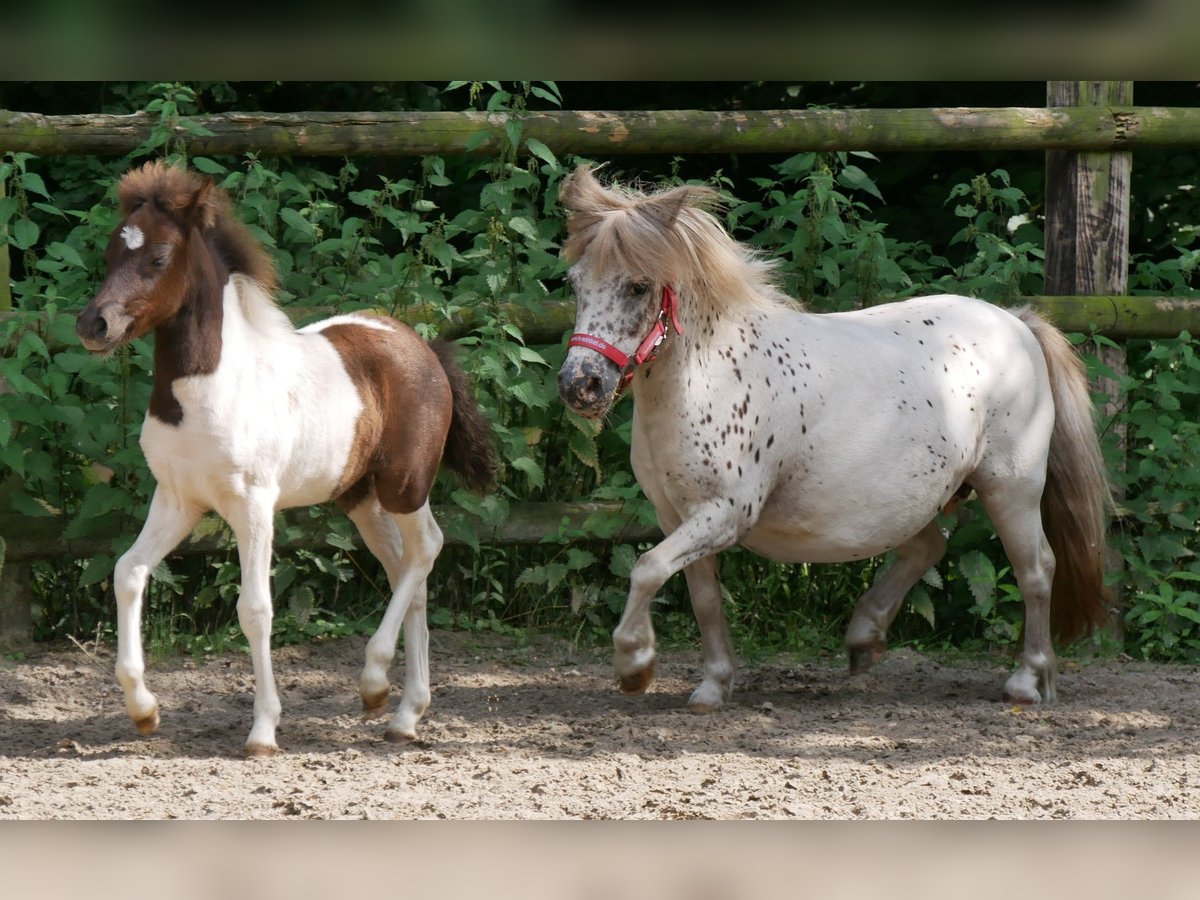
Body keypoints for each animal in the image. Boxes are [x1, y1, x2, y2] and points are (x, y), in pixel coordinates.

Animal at [76, 161, 497, 756]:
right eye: (113, 251)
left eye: (158, 257)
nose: (94, 325)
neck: (207, 386)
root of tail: (425, 349)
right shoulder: (179, 499)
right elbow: (127, 572)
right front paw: (144, 711)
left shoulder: (253, 505)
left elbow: (254, 609)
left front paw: (263, 730)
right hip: (360, 498)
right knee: (405, 569)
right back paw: (405, 713)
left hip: (404, 485)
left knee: (428, 549)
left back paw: (374, 684)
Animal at [556, 164, 1111, 712]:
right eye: (575, 283)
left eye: (638, 287)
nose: (580, 384)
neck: (712, 375)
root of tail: (1017, 323)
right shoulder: (678, 516)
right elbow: (702, 598)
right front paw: (713, 685)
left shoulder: (725, 513)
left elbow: (646, 569)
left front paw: (634, 665)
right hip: (912, 499)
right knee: (929, 548)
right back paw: (865, 638)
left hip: (1011, 489)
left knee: (1036, 569)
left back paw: (1028, 679)